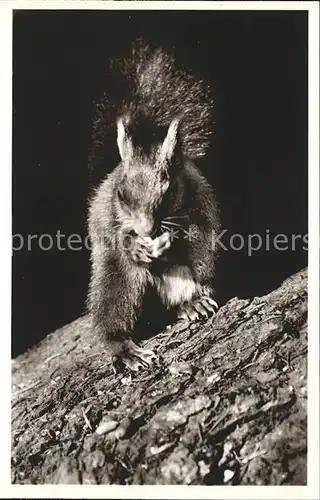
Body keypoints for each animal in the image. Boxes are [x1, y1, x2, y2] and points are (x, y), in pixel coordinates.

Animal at [87, 42, 220, 372]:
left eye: (168, 189)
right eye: (121, 194)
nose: (146, 230)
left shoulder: (201, 204)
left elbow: (201, 236)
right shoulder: (111, 217)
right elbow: (119, 238)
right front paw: (135, 246)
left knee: (182, 293)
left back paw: (193, 303)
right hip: (116, 278)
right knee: (114, 305)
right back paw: (124, 348)